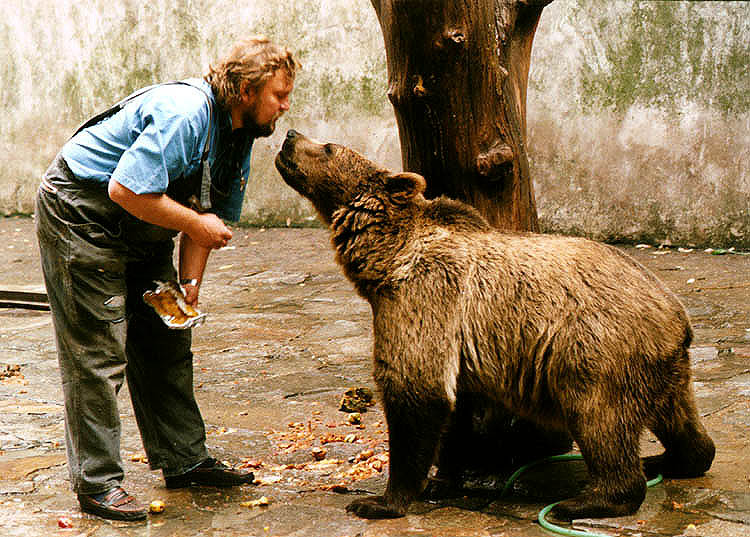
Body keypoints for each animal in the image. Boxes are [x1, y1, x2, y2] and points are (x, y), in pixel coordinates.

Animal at [274, 129, 716, 520]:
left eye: (328, 147)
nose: (290, 135)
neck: (389, 258)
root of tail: (677, 316)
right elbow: (456, 409)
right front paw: (444, 478)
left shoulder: (425, 297)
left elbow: (416, 389)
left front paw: (384, 500)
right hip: (663, 367)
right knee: (681, 421)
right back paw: (670, 459)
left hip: (597, 348)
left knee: (599, 419)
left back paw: (590, 499)